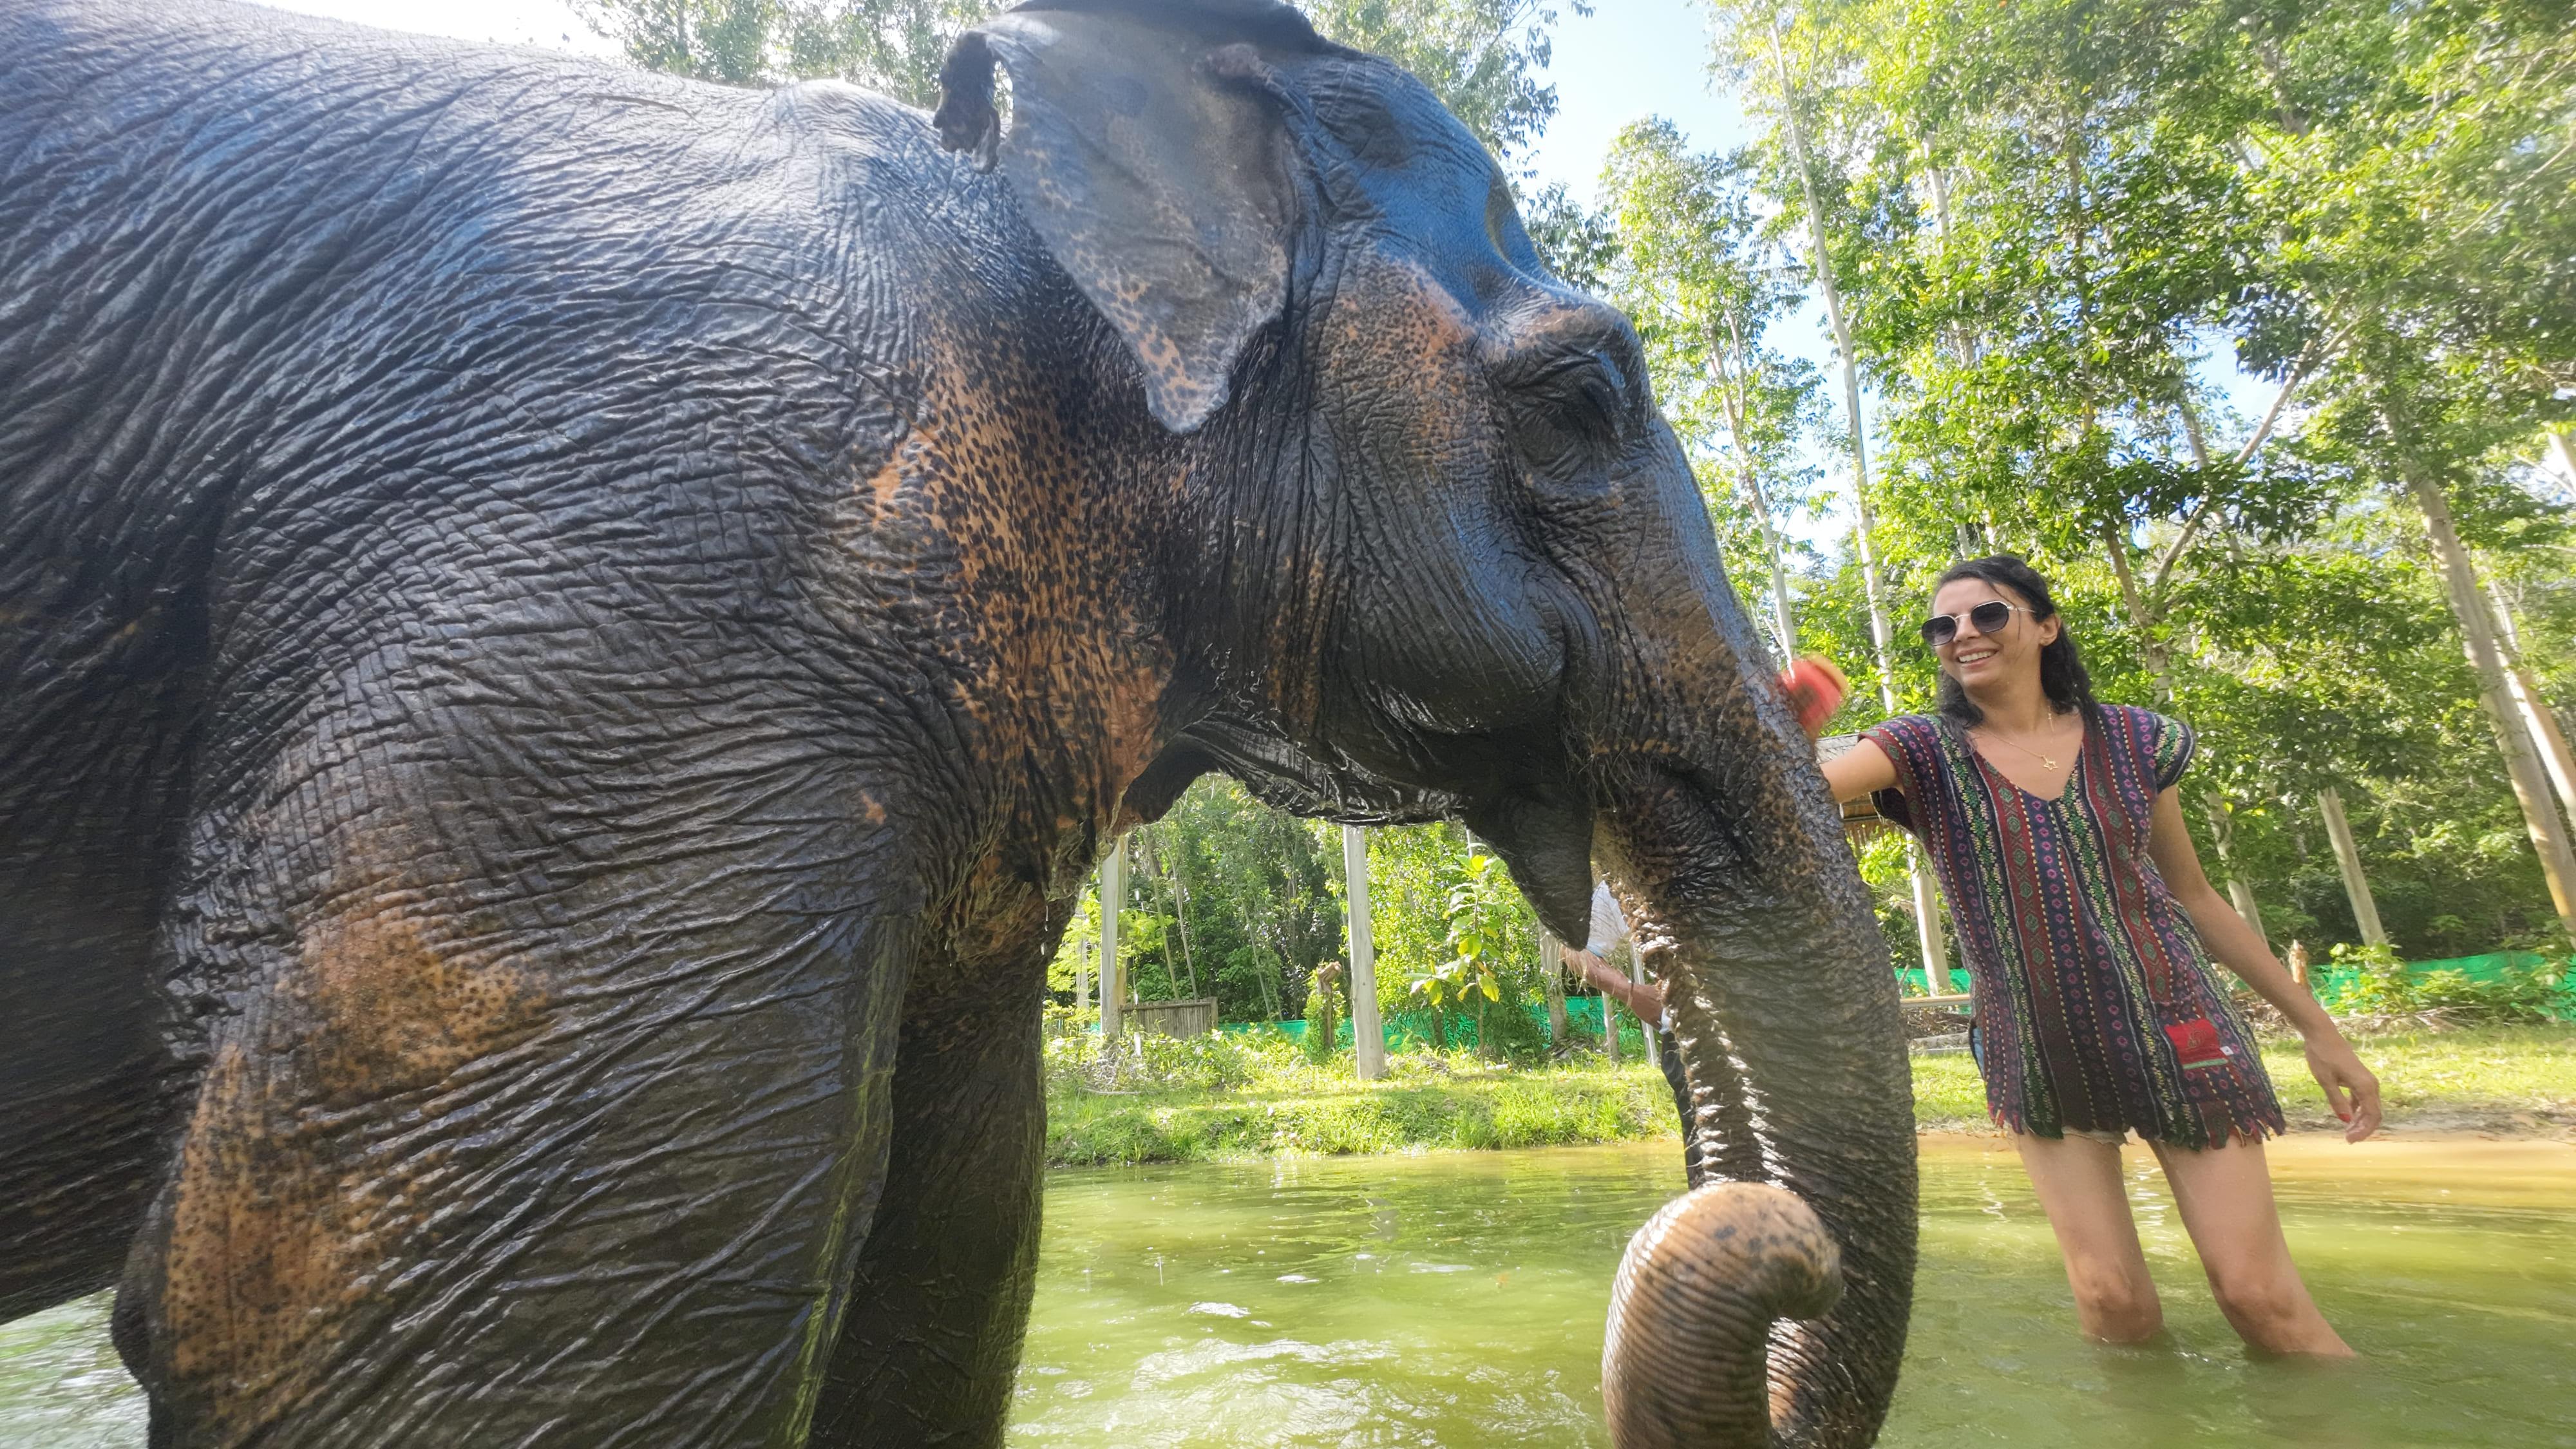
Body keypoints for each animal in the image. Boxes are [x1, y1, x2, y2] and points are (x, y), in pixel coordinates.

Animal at [0, 0, 1916, 1444]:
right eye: (1586, 399)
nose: (1777, 1243)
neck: (1003, 206)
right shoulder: (627, 590)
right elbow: (418, 1328)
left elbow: (962, 1236)